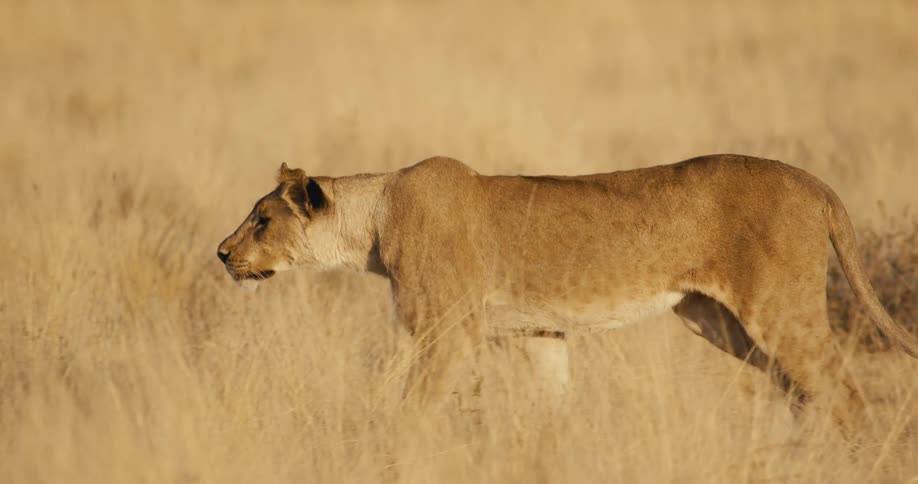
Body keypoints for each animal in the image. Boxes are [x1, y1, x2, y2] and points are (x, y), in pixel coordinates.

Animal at [217, 154, 918, 434]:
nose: (221, 253)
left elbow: (414, 409)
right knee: (806, 391)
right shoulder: (540, 333)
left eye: (261, 219)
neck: (375, 220)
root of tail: (813, 181)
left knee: (844, 391)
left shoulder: (448, 331)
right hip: (721, 322)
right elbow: (554, 404)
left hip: (778, 311)